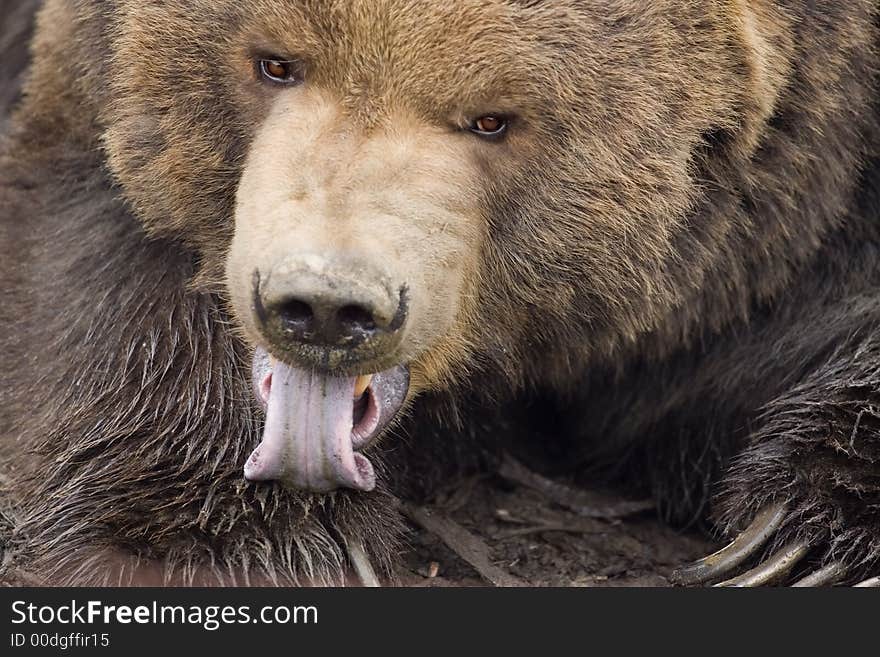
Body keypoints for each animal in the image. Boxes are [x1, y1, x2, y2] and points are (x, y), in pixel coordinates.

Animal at [0, 0, 876, 584]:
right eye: (275, 62)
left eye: (493, 118)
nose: (326, 305)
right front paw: (224, 540)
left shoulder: (813, 192)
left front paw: (802, 541)